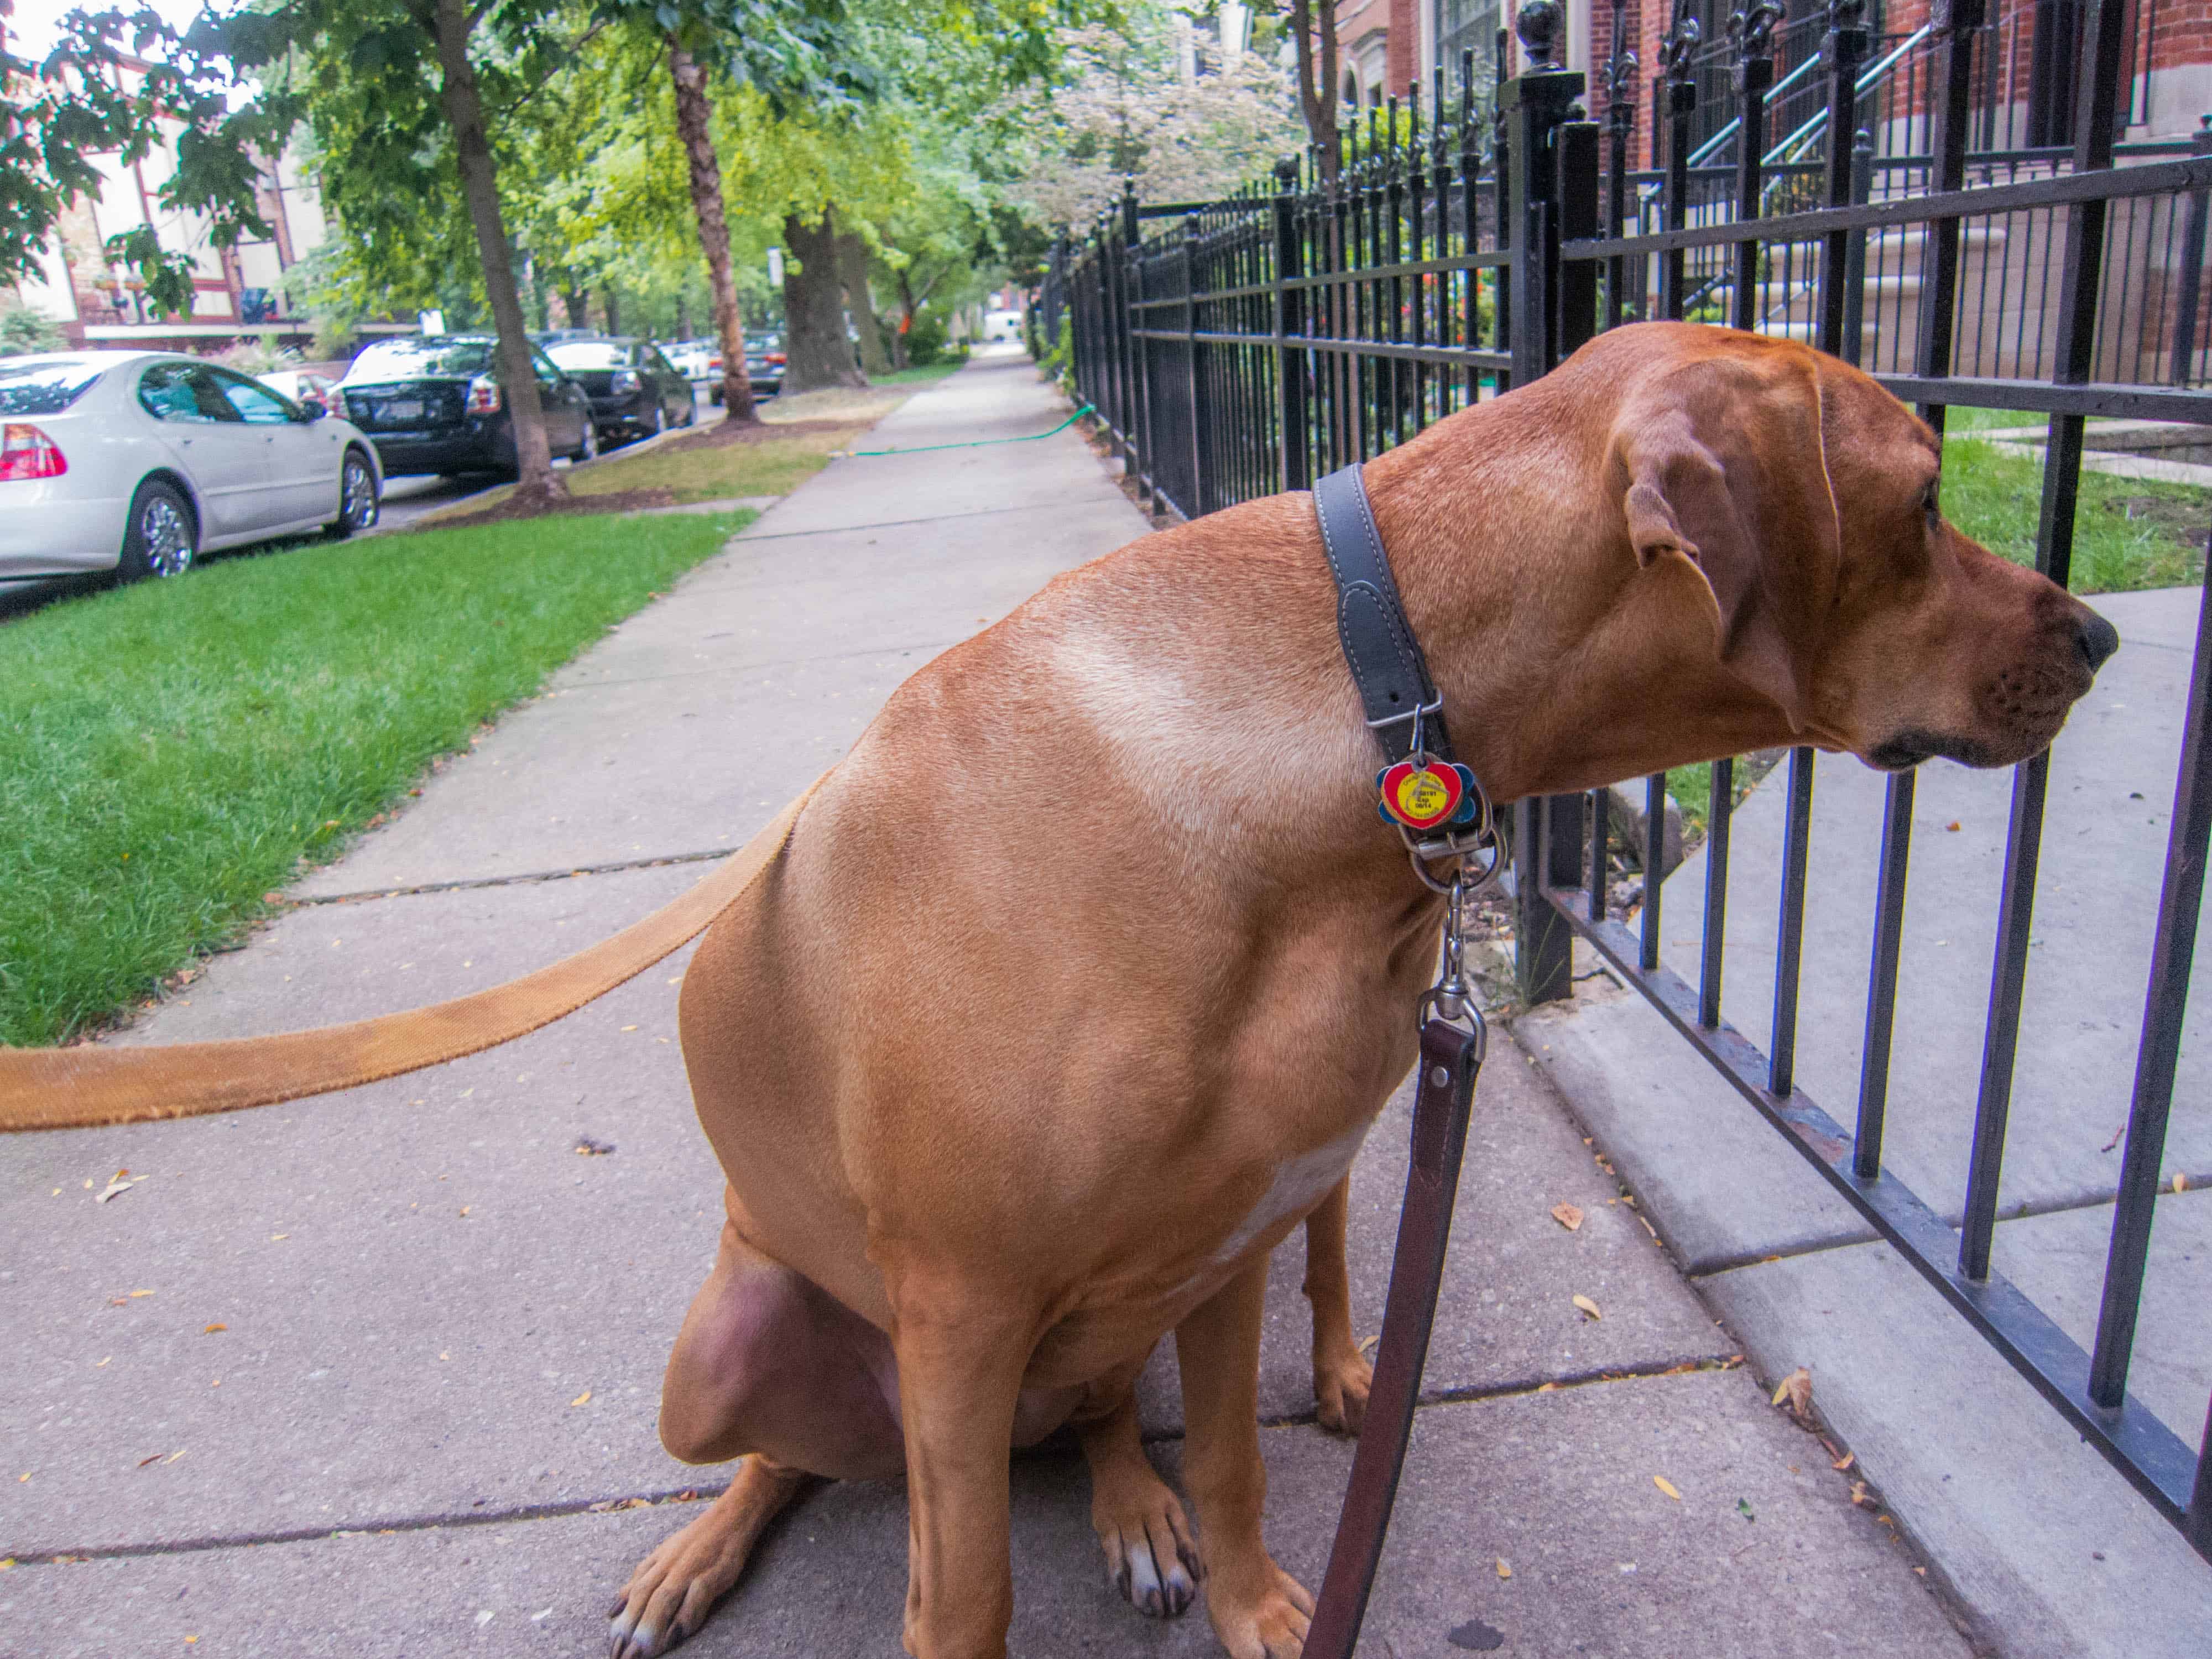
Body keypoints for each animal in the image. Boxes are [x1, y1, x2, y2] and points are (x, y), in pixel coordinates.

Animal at [602, 327, 2106, 1659]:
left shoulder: (1223, 1239)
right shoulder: (963, 1312)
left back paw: (1135, 1501)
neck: (1360, 705)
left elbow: (1229, 1460)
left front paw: (1261, 1607)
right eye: (1925, 502)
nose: (2096, 634)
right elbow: (960, 1602)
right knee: (787, 1459)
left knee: (1106, 1402)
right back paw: (695, 1554)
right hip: (727, 1365)